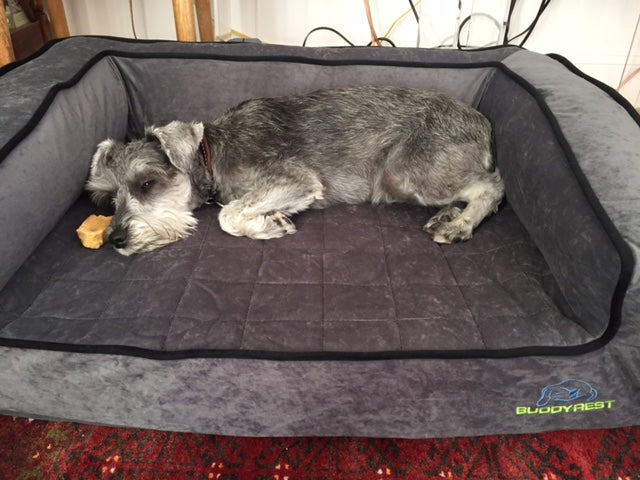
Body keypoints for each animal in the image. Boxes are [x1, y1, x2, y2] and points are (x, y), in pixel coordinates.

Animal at [86, 85, 504, 255]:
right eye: (108, 199)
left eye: (147, 183)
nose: (115, 239)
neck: (211, 153)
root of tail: (483, 121)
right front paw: (271, 219)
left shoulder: (294, 180)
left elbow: (228, 215)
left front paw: (268, 225)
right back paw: (447, 215)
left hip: (406, 171)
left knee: (491, 186)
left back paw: (459, 225)